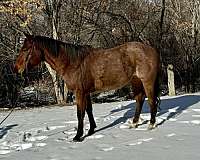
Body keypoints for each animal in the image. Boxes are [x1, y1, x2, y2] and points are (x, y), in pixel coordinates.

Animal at [14, 33, 160, 141]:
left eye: (25, 49)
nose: (16, 69)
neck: (72, 63)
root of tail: (151, 49)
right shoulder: (86, 92)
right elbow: (89, 110)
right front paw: (91, 130)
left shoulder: (79, 92)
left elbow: (80, 113)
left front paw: (78, 136)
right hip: (136, 81)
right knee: (140, 100)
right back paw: (134, 123)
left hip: (147, 82)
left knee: (151, 101)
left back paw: (151, 124)